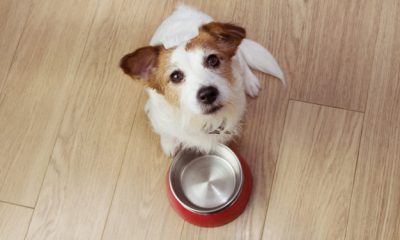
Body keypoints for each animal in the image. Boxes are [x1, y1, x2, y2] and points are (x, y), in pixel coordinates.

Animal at [119, 5, 284, 157]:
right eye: (175, 76)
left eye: (213, 60)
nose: (208, 94)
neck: (200, 120)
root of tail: (182, 8)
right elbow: (166, 131)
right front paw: (169, 142)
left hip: (237, 58)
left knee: (242, 61)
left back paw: (250, 82)